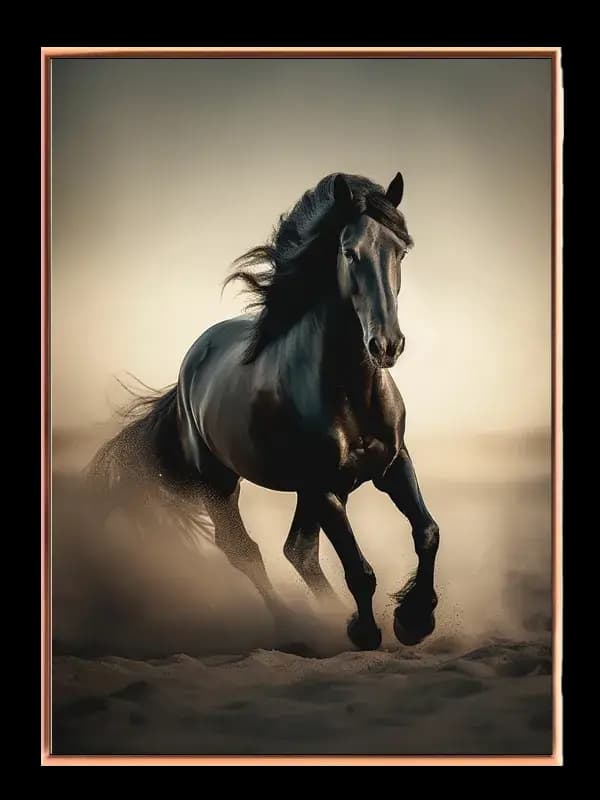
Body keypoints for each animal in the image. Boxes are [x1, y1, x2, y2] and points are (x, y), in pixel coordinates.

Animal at [89, 171, 440, 651]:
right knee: (244, 551)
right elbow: (359, 571)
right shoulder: (323, 485)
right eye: (349, 251)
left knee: (298, 551)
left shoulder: (391, 465)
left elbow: (427, 533)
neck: (351, 391)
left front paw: (414, 620)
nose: (386, 345)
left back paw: (327, 616)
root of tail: (188, 370)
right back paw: (297, 627)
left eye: (400, 250)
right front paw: (366, 631)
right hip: (220, 485)